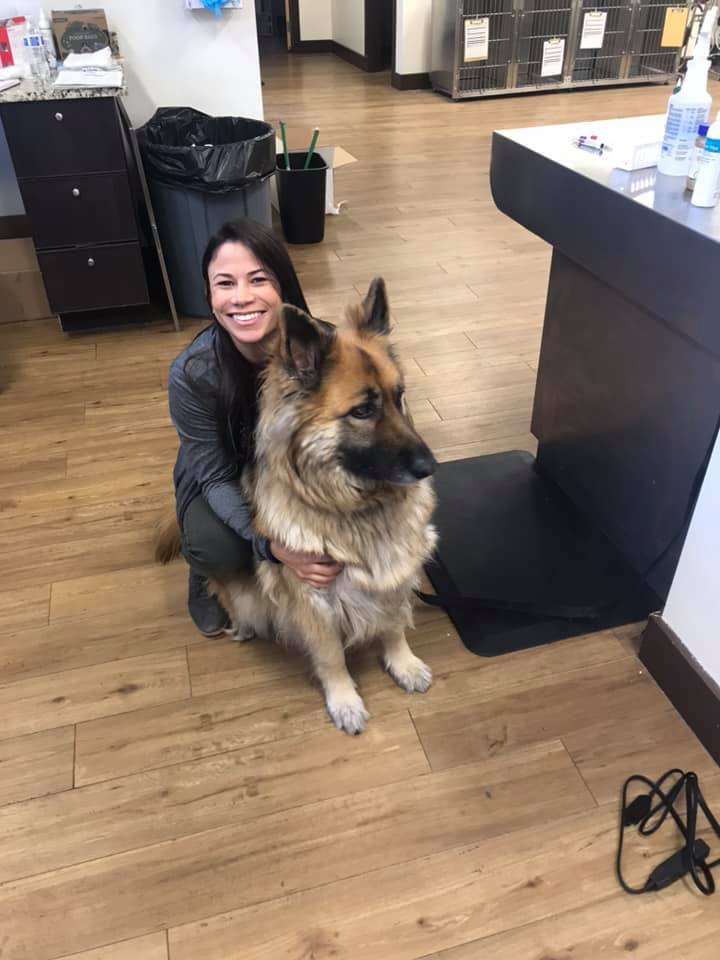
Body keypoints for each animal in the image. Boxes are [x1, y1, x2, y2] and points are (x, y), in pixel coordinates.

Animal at [156, 278, 437, 734]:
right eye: (363, 410)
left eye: (399, 398)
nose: (430, 468)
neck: (353, 508)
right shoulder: (312, 601)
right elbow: (331, 656)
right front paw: (344, 700)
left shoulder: (395, 570)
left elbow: (394, 623)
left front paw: (404, 663)